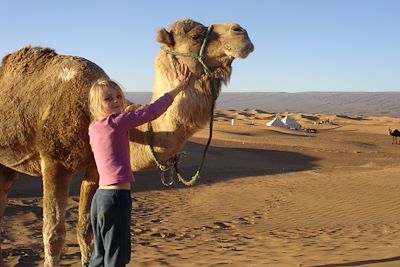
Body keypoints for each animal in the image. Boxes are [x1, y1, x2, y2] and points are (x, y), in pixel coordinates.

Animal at [0, 18, 253, 266]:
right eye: (196, 36)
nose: (241, 32)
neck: (89, 110)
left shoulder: (95, 168)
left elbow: (85, 230)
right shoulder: (54, 163)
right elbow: (53, 236)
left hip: (7, 166)